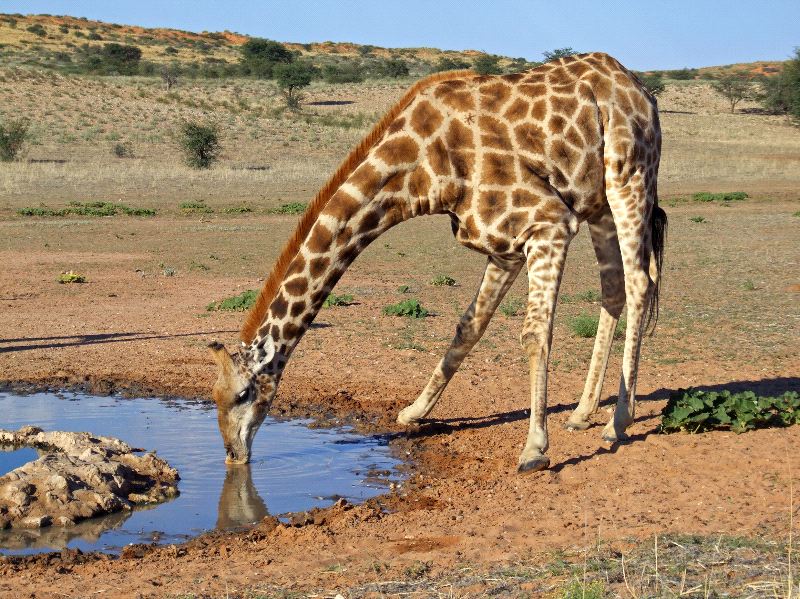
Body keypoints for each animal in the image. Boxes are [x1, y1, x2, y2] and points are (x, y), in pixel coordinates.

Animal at [209, 52, 667, 473]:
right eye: (213, 395)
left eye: (243, 394)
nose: (233, 455)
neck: (419, 173)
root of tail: (642, 90)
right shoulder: (503, 245)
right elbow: (468, 327)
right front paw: (414, 412)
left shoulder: (548, 223)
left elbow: (534, 335)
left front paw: (534, 450)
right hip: (597, 203)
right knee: (613, 288)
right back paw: (583, 413)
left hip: (630, 177)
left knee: (639, 283)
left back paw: (617, 423)